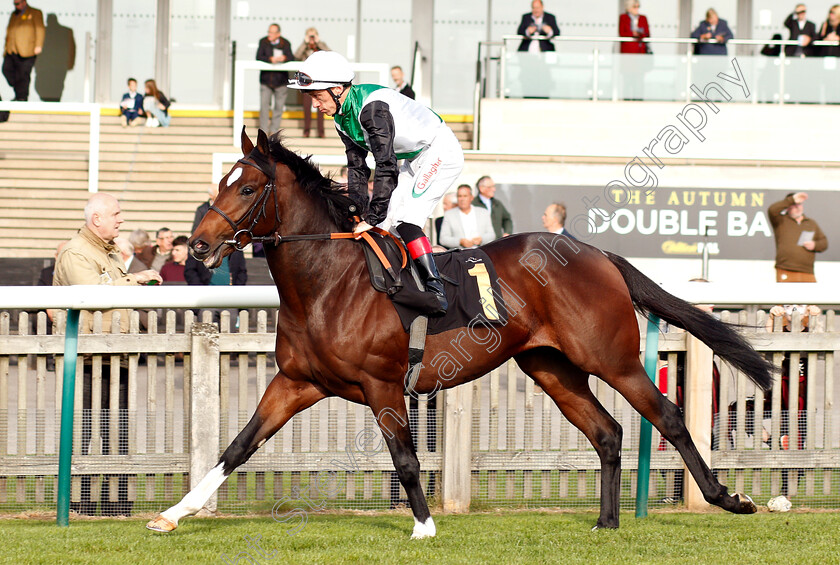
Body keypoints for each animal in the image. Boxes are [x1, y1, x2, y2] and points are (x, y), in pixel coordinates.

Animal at [146, 129, 776, 536]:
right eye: (221, 184)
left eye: (247, 188)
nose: (198, 246)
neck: (328, 284)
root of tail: (596, 252)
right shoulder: (296, 383)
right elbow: (236, 447)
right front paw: (172, 515)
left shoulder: (382, 385)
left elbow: (404, 457)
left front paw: (424, 528)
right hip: (550, 367)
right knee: (608, 432)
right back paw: (606, 522)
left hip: (611, 358)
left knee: (666, 416)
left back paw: (728, 500)